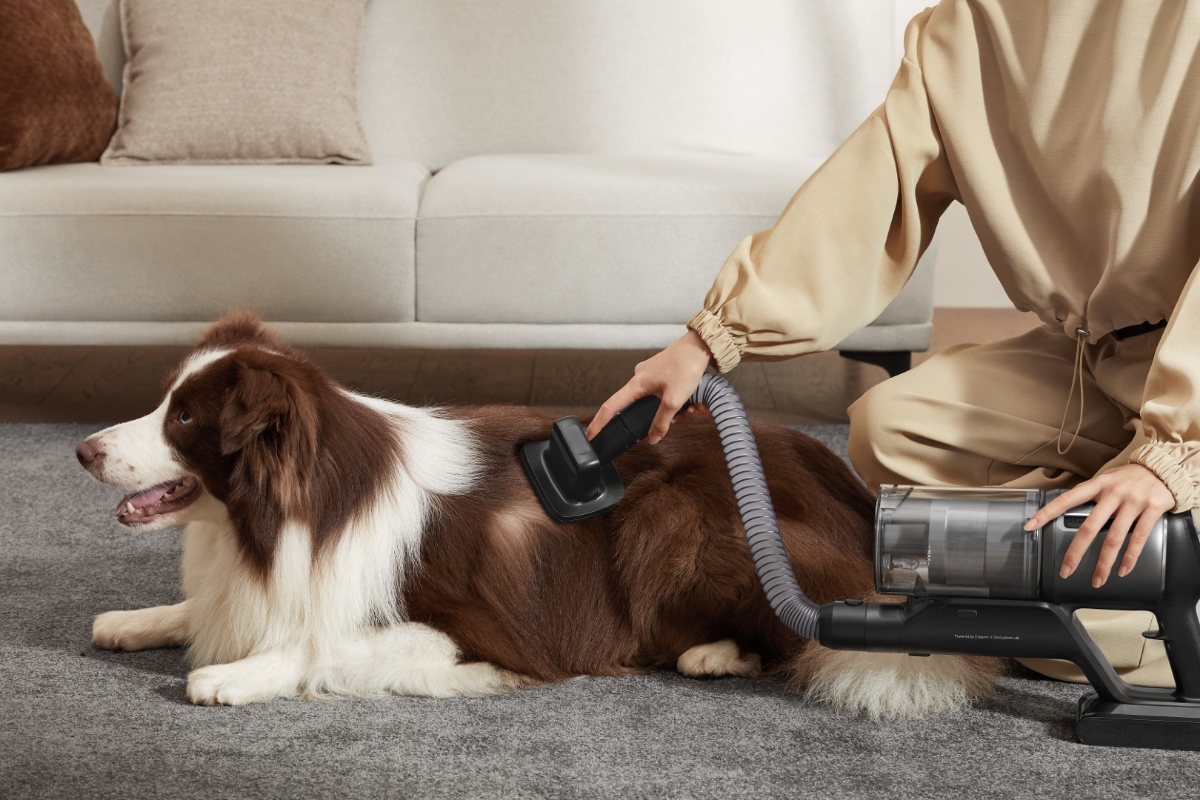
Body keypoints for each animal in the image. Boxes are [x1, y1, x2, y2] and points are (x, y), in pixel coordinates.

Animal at [70, 314, 998, 719]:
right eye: (164, 401)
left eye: (185, 419)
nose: (81, 449)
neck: (291, 513)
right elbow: (209, 608)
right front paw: (136, 619)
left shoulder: (465, 627)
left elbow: (319, 644)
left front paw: (229, 675)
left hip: (670, 517)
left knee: (788, 632)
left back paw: (714, 653)